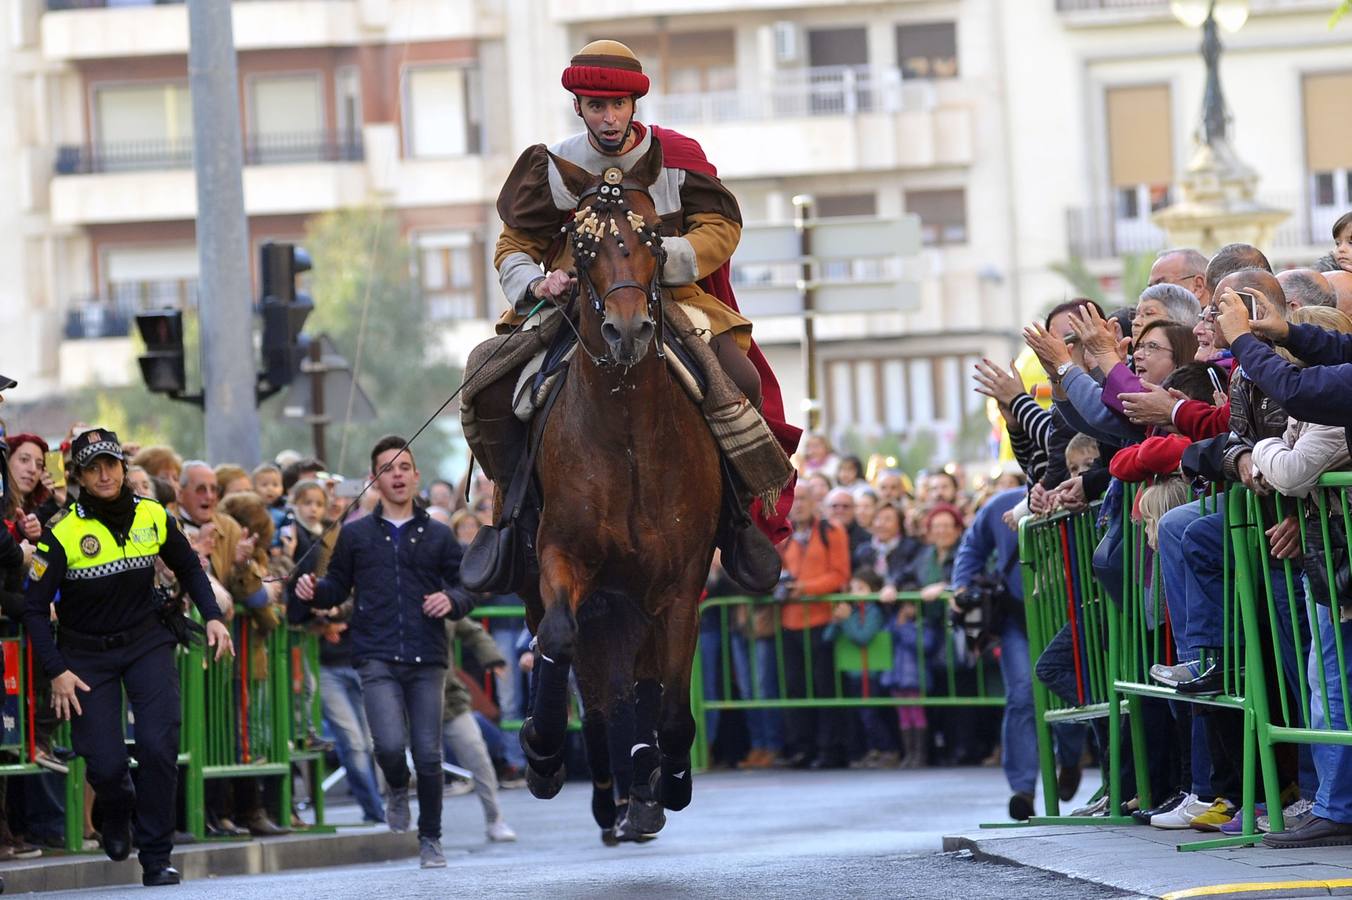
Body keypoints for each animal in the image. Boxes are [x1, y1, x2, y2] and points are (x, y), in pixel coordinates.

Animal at [516, 136, 724, 837]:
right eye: (580, 250)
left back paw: (644, 787)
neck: (629, 437)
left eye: (654, 240)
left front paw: (674, 778)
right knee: (600, 687)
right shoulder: (563, 557)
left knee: (637, 688)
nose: (628, 331)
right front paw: (543, 751)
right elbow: (559, 641)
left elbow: (671, 703)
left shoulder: (680, 584)